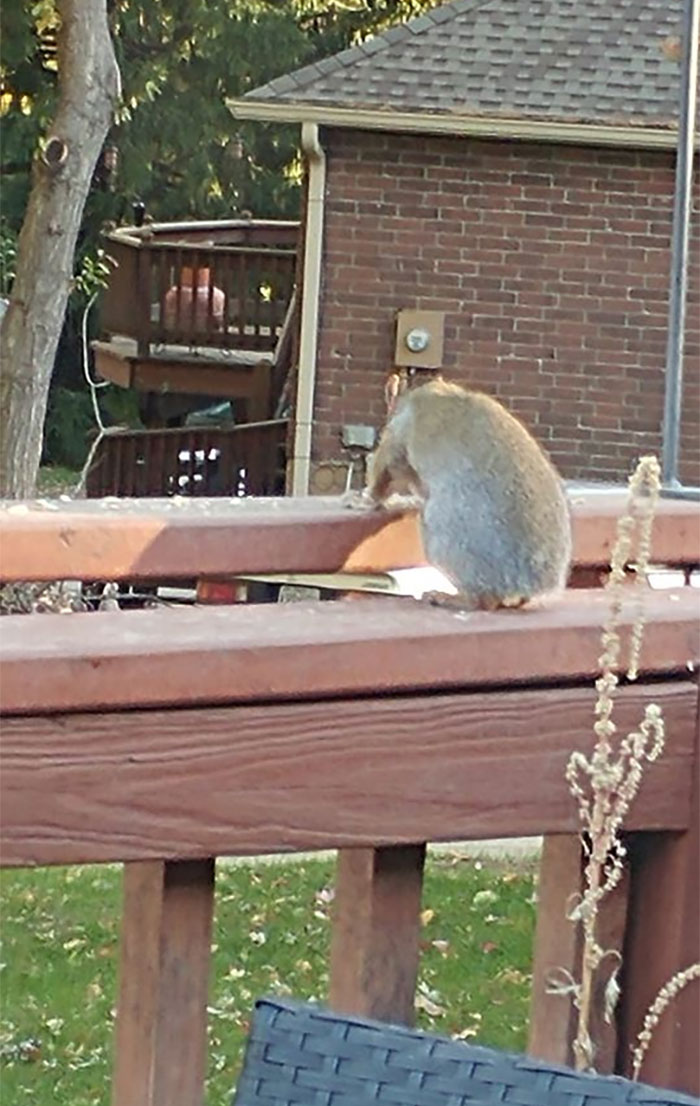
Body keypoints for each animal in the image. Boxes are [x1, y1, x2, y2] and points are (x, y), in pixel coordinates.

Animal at [365, 377, 572, 610]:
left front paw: (371, 497)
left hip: (447, 539)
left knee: (482, 600)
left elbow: (386, 472)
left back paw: (447, 597)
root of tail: (529, 581)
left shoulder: (397, 441)